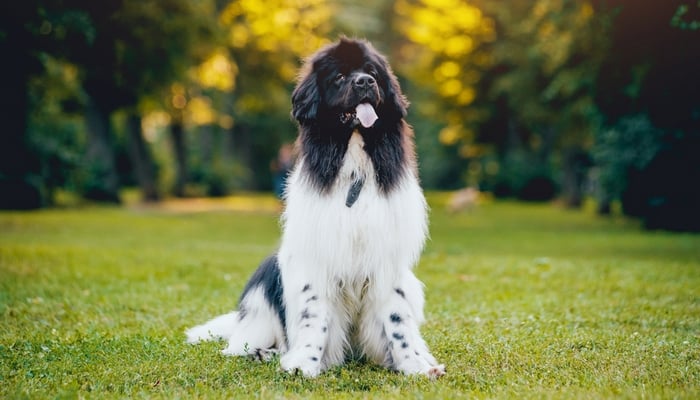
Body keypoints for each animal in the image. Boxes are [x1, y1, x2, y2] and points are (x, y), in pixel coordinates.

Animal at [186, 37, 446, 378]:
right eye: (339, 77)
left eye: (372, 72)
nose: (365, 82)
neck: (354, 170)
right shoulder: (316, 258)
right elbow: (315, 316)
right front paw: (304, 364)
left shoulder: (386, 260)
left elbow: (397, 320)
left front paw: (413, 365)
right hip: (265, 284)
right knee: (246, 343)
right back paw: (264, 353)